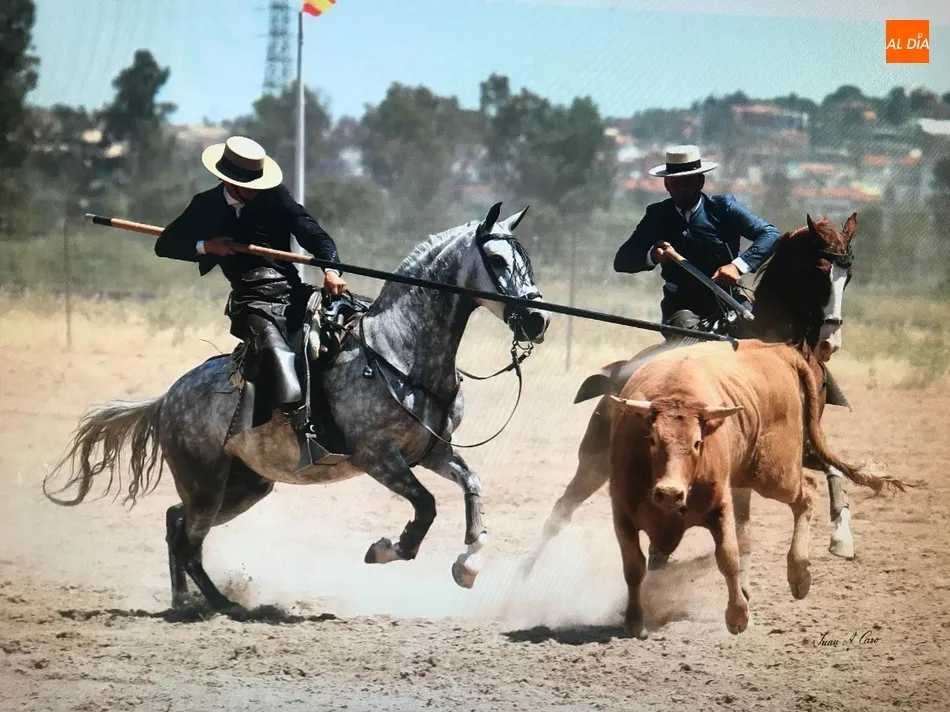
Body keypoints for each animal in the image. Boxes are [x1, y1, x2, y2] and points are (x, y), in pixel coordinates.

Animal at [42, 201, 551, 618]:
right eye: (497, 261)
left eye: (526, 260)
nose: (537, 320)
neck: (396, 351)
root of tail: (166, 400)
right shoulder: (378, 457)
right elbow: (425, 507)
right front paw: (385, 548)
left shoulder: (431, 451)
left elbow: (472, 484)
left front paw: (469, 564)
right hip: (205, 483)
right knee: (187, 539)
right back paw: (222, 604)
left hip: (243, 486)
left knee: (175, 523)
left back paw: (185, 602)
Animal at [519, 212, 859, 584]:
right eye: (820, 269)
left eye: (848, 275)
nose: (829, 343)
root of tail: (616, 376)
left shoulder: (801, 444)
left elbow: (837, 469)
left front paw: (841, 538)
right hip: (594, 459)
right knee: (562, 510)